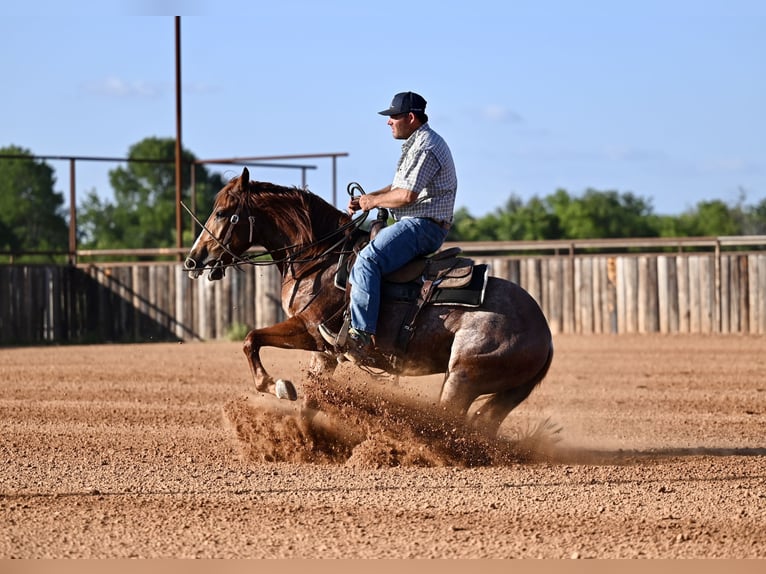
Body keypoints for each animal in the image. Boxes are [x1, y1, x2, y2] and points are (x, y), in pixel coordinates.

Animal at [184, 167, 553, 437]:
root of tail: (544, 333)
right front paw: (305, 442)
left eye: (223, 212)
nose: (193, 259)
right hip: (494, 391)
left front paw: (278, 386)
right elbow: (310, 399)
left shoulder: (309, 330)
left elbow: (251, 339)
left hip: (462, 377)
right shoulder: (324, 351)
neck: (321, 258)